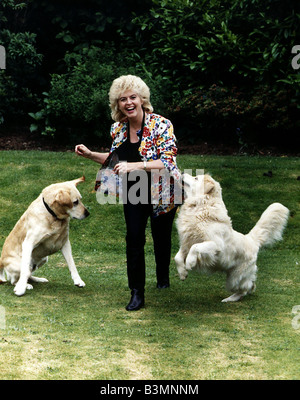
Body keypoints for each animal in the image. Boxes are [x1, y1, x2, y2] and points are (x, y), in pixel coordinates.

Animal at [175, 173, 290, 302]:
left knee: (245, 289)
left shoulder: (215, 244)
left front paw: (190, 263)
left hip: (234, 279)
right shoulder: (186, 244)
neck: (201, 206)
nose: (182, 173)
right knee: (251, 285)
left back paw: (229, 299)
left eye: (196, 178)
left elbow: (195, 247)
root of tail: (252, 240)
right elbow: (177, 257)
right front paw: (182, 273)